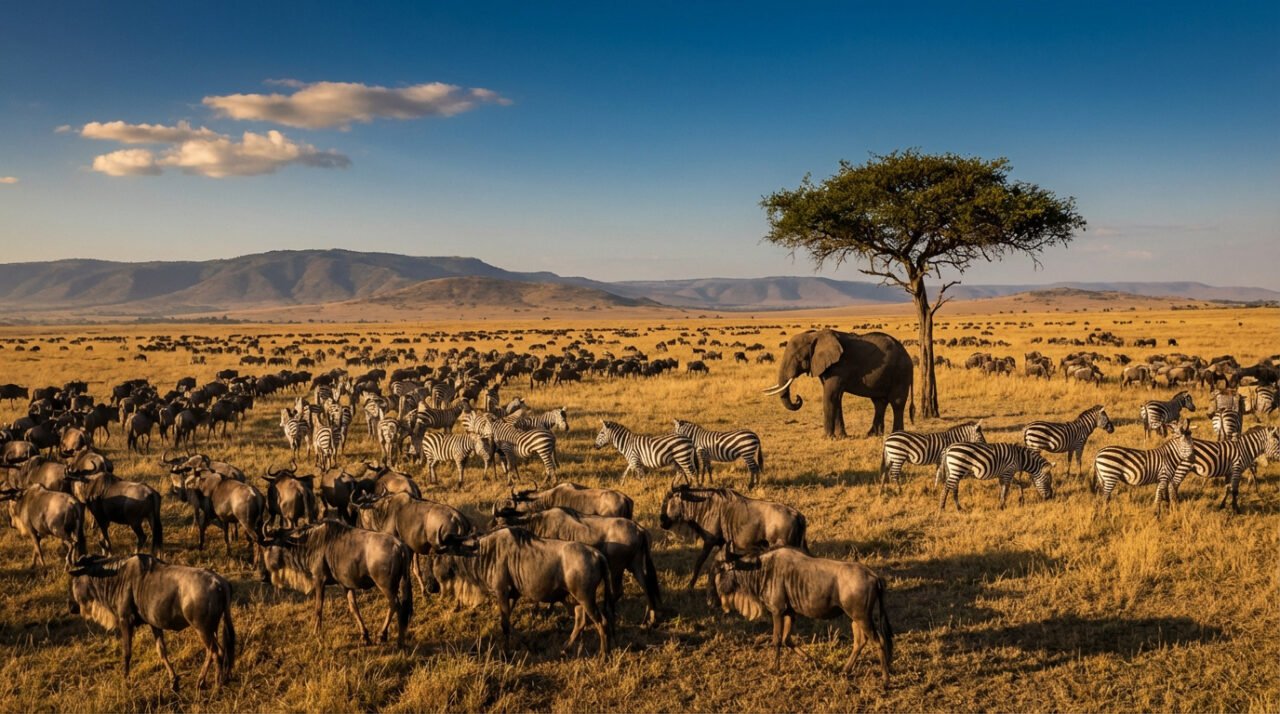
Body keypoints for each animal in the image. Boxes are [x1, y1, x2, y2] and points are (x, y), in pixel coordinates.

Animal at [764, 329, 914, 438]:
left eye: (798, 358)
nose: (797, 398)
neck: (815, 335)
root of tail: (908, 356)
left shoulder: (839, 366)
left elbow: (830, 396)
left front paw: (826, 438)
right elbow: (836, 398)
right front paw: (841, 437)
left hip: (900, 372)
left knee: (897, 402)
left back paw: (896, 434)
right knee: (879, 402)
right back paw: (873, 434)